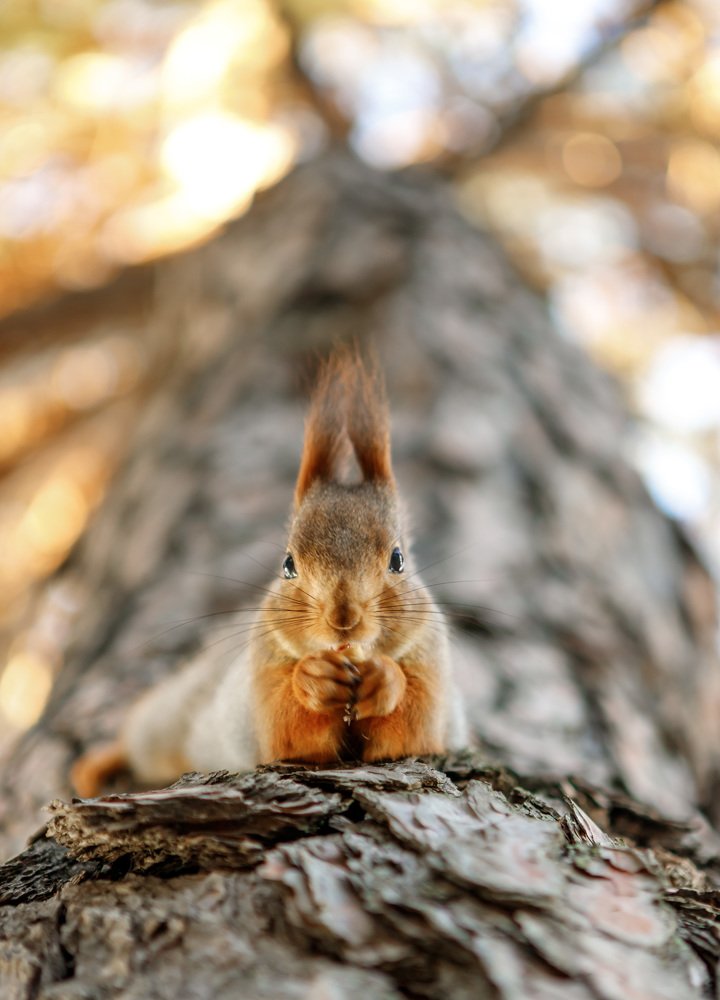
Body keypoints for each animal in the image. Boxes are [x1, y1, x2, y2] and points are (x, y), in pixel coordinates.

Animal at [71, 351, 468, 796]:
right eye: (288, 564)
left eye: (397, 560)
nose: (343, 620)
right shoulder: (261, 674)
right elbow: (284, 726)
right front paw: (313, 677)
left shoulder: (432, 668)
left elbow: (413, 726)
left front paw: (384, 679)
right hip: (167, 719)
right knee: (137, 737)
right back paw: (97, 765)